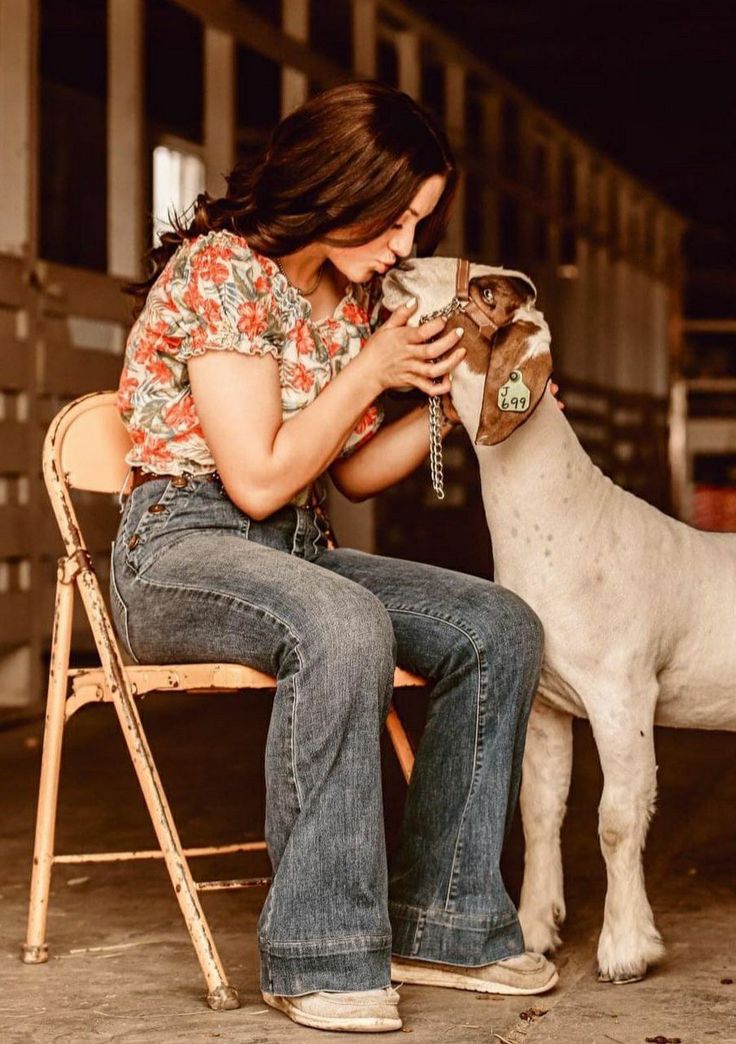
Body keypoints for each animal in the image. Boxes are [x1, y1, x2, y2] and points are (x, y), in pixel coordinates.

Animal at [382, 258, 730, 985]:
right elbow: (541, 810)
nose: (399, 265)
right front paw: (538, 930)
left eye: (486, 293)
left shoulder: (623, 691)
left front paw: (625, 950)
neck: (572, 521)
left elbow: (618, 819)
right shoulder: (548, 700)